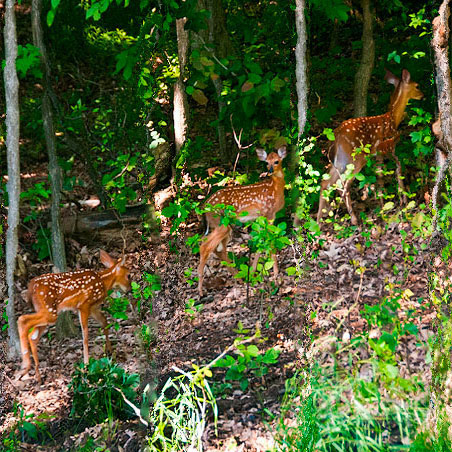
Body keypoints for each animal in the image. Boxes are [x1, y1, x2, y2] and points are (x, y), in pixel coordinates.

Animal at [17, 249, 130, 384]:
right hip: (49, 310)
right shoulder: (84, 305)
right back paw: (25, 367)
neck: (103, 282)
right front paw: (86, 365)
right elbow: (85, 335)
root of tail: (30, 288)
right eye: (129, 275)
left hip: (46, 312)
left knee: (32, 336)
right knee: (23, 320)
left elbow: (104, 321)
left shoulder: (92, 307)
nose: (129, 290)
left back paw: (37, 376)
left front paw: (110, 352)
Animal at [197, 147, 286, 298]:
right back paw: (200, 291)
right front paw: (276, 273)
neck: (275, 188)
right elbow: (269, 242)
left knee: (218, 250)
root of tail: (205, 207)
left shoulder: (262, 217)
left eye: (276, 161)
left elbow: (261, 242)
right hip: (222, 223)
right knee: (205, 247)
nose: (269, 170)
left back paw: (239, 277)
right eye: (266, 162)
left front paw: (254, 270)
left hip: (223, 226)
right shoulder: (269, 213)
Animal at [318, 69, 424, 225]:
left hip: (339, 161)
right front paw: (402, 200)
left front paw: (383, 205)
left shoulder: (377, 154)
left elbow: (379, 178)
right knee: (344, 185)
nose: (423, 95)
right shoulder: (389, 147)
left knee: (326, 182)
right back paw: (354, 220)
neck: (392, 119)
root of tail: (336, 138)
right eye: (416, 85)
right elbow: (397, 170)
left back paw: (319, 221)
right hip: (355, 158)